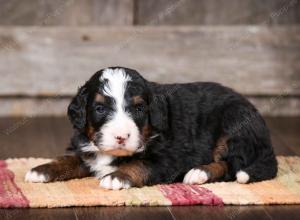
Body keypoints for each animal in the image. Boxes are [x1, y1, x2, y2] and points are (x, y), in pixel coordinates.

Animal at [24, 66, 278, 189]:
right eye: (99, 108)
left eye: (138, 109)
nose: (121, 136)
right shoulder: (88, 148)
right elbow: (70, 159)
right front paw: (41, 170)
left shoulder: (170, 157)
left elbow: (140, 164)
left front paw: (117, 177)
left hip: (234, 122)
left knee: (231, 165)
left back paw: (198, 173)